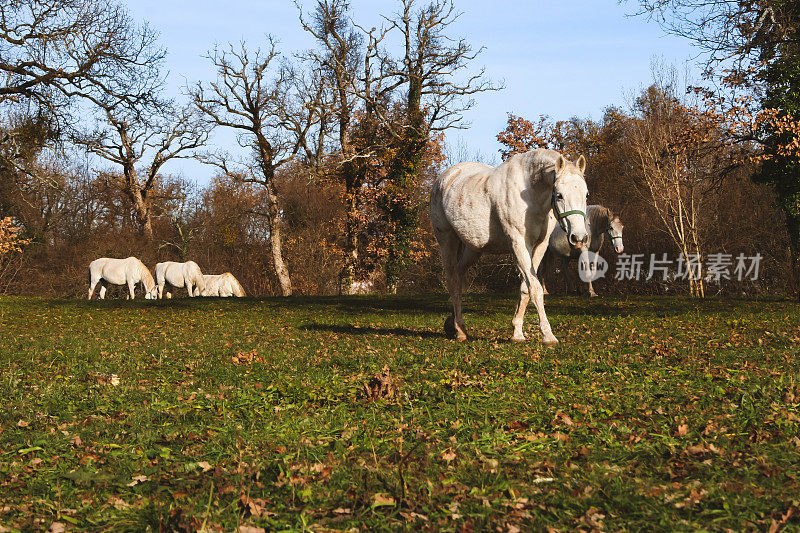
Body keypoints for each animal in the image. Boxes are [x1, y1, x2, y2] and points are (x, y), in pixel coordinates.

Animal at [428, 149, 592, 344]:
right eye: (559, 194)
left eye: (586, 194)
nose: (579, 237)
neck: (531, 194)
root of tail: (444, 179)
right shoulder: (519, 243)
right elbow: (535, 288)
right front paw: (548, 334)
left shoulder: (539, 246)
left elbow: (526, 287)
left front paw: (517, 332)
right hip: (447, 241)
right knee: (452, 280)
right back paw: (459, 331)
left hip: (473, 249)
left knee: (459, 277)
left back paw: (456, 324)